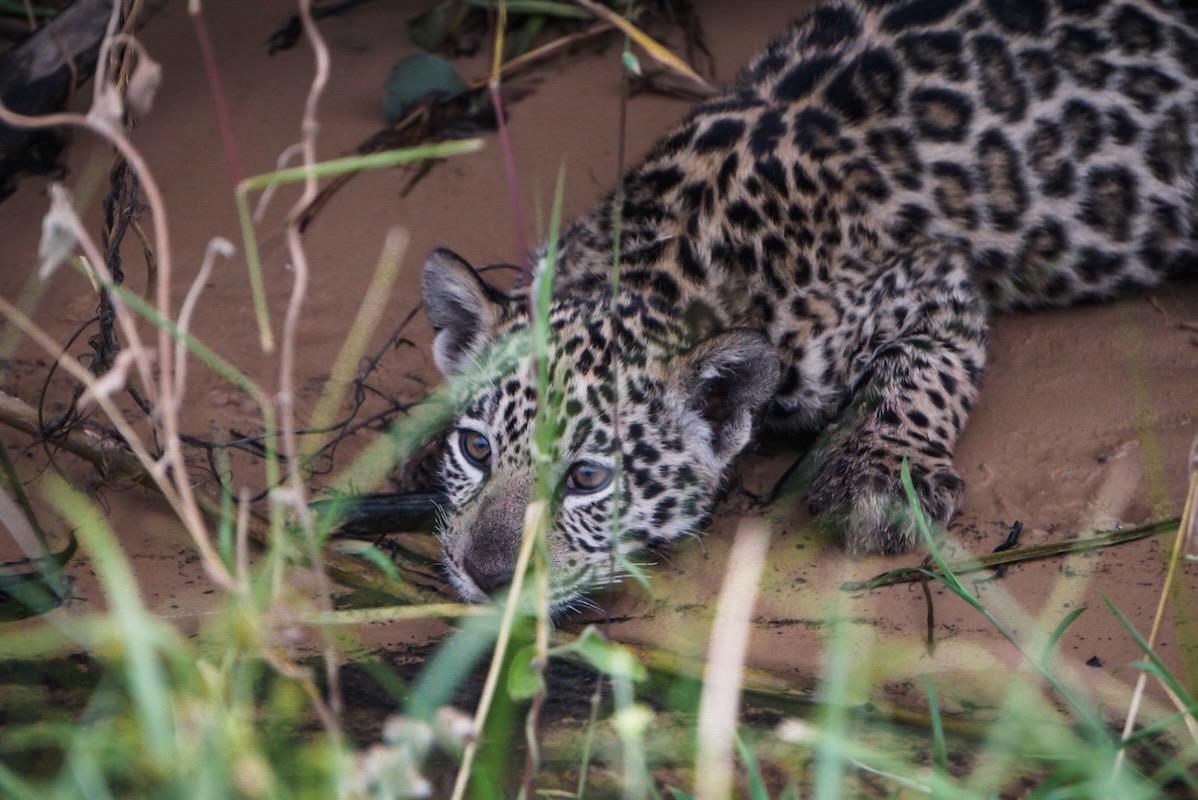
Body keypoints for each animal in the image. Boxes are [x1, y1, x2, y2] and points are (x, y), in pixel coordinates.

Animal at [420, 0, 1198, 607]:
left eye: (587, 478)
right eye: (475, 448)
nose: (483, 573)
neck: (653, 260)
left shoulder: (931, 275)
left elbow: (921, 372)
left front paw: (883, 477)